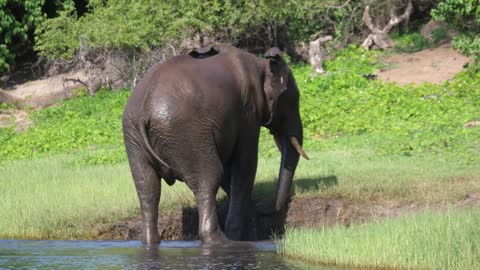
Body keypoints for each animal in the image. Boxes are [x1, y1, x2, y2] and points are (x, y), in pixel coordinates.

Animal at [121, 44, 308, 247]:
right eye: (294, 99)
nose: (267, 210)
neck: (261, 63)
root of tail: (144, 112)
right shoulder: (247, 114)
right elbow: (244, 166)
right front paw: (239, 235)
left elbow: (230, 173)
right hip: (187, 134)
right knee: (209, 178)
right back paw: (221, 241)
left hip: (133, 138)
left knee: (147, 188)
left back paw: (150, 242)